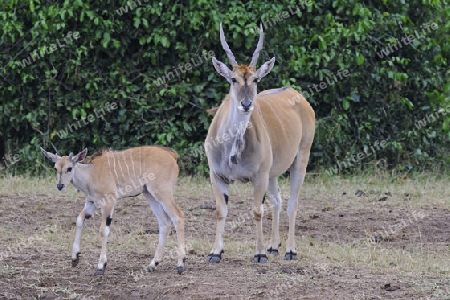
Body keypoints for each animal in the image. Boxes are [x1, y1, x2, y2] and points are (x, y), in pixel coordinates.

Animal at [39, 145, 185, 274]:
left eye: (69, 168)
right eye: (55, 168)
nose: (60, 186)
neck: (91, 173)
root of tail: (172, 156)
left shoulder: (109, 202)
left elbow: (104, 230)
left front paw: (101, 266)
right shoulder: (91, 202)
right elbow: (79, 220)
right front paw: (75, 257)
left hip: (162, 193)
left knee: (178, 216)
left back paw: (181, 264)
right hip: (149, 194)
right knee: (164, 222)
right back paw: (153, 264)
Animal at [204, 23, 312, 262]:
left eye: (255, 80)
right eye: (233, 79)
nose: (246, 104)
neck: (232, 149)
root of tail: (298, 96)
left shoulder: (259, 176)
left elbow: (256, 211)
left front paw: (260, 253)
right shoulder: (217, 175)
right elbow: (220, 211)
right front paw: (215, 252)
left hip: (301, 157)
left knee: (292, 203)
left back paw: (289, 250)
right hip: (273, 173)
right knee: (277, 200)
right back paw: (274, 246)